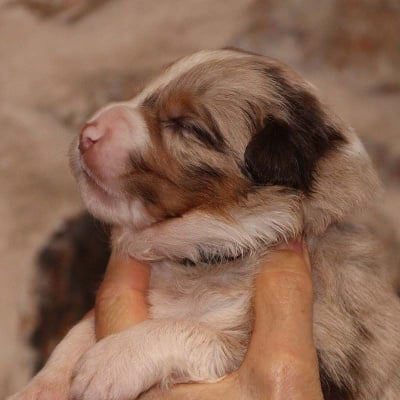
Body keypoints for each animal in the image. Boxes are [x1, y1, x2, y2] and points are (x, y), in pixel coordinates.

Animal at [8, 49, 400, 400]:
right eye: (141, 92)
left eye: (188, 126)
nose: (87, 133)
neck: (198, 254)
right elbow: (76, 333)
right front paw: (40, 388)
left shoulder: (322, 346)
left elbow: (189, 330)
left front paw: (108, 363)